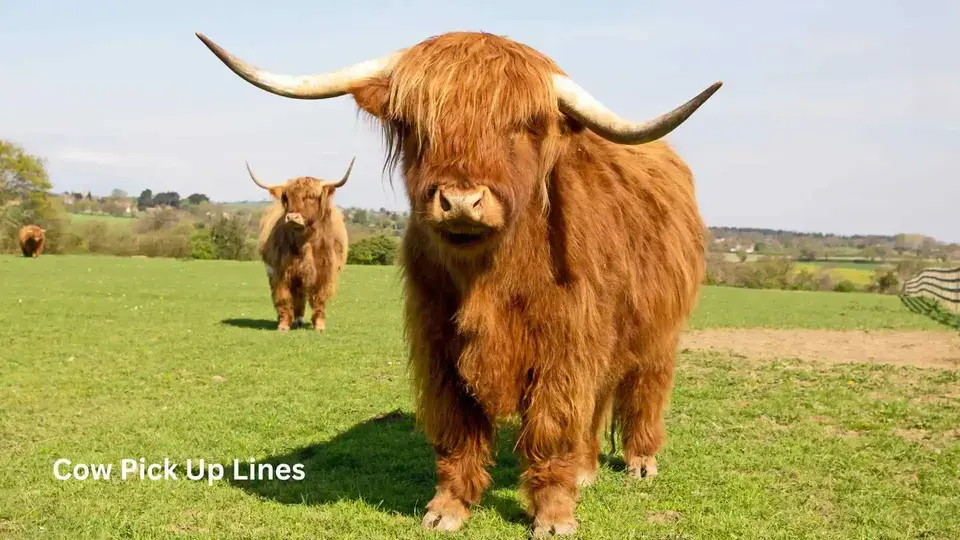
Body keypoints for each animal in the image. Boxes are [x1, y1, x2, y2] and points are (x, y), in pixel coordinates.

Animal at [247, 159, 353, 332]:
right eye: (287, 197)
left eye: (311, 197)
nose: (292, 217)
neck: (306, 242)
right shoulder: (281, 272)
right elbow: (283, 298)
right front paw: (283, 325)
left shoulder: (325, 272)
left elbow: (320, 299)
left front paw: (319, 325)